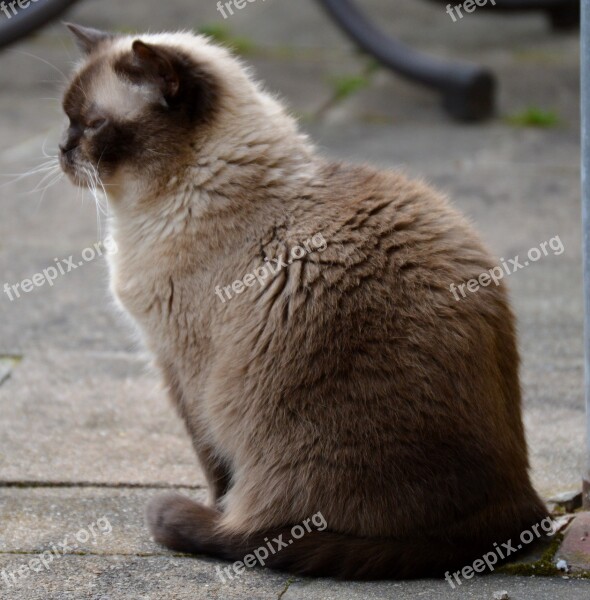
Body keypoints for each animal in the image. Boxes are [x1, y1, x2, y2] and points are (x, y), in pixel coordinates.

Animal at [60, 23, 552, 580]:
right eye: (67, 119)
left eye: (93, 125)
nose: (60, 149)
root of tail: (508, 515)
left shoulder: (183, 368)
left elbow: (215, 468)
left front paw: (214, 507)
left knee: (258, 529)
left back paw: (222, 523)